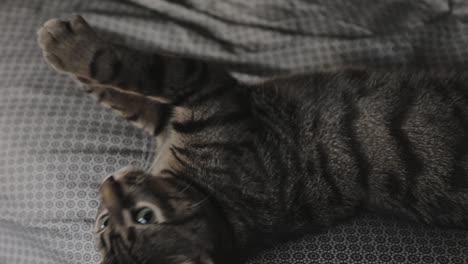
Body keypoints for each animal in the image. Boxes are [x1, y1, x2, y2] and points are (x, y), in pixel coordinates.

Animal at [37, 15, 468, 262]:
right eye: (104, 223)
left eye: (144, 217)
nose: (107, 182)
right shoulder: (196, 107)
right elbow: (130, 87)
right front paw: (68, 56)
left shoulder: (209, 96)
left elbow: (126, 74)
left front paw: (64, 49)